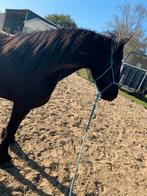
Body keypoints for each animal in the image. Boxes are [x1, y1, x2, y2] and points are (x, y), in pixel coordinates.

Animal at [0, 28, 129, 166]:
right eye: (117, 64)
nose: (113, 95)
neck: (36, 64)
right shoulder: (21, 105)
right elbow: (11, 129)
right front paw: (4, 157)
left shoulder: (23, 106)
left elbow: (12, 129)